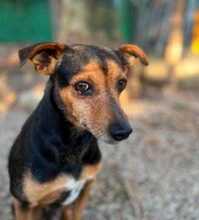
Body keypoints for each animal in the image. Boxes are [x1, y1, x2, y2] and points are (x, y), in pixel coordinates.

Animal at [8, 42, 148, 219]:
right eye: (82, 86)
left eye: (122, 83)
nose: (124, 132)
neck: (73, 144)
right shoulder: (25, 203)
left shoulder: (85, 187)